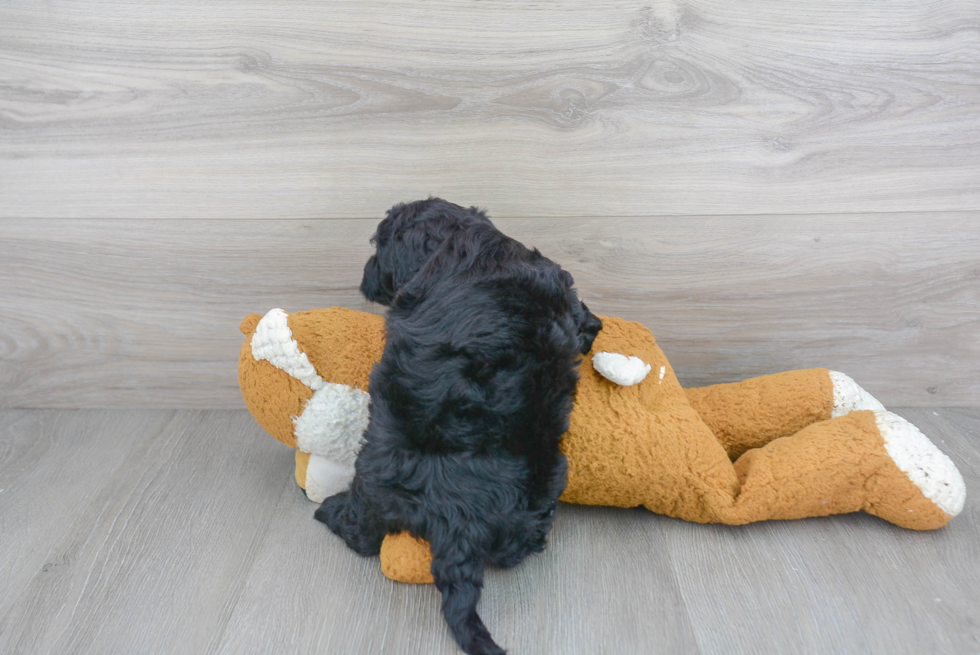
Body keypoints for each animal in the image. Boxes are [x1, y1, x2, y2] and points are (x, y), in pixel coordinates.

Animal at [318, 200, 600, 655]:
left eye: (379, 246)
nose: (364, 275)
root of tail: (459, 521)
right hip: (550, 481)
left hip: (373, 478)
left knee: (361, 532)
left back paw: (328, 510)